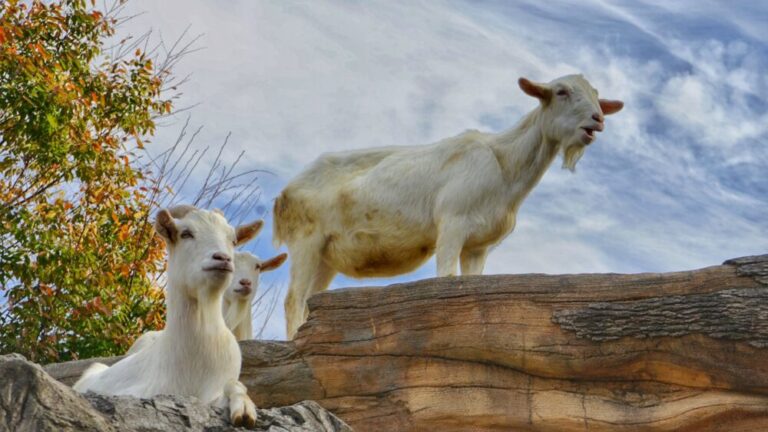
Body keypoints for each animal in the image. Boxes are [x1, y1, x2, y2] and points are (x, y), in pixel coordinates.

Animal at [276, 74, 624, 338]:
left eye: (597, 97)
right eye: (561, 91)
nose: (598, 119)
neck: (504, 164)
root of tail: (284, 193)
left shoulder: (478, 246)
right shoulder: (452, 225)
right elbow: (446, 278)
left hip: (327, 255)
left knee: (309, 299)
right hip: (306, 240)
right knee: (294, 299)